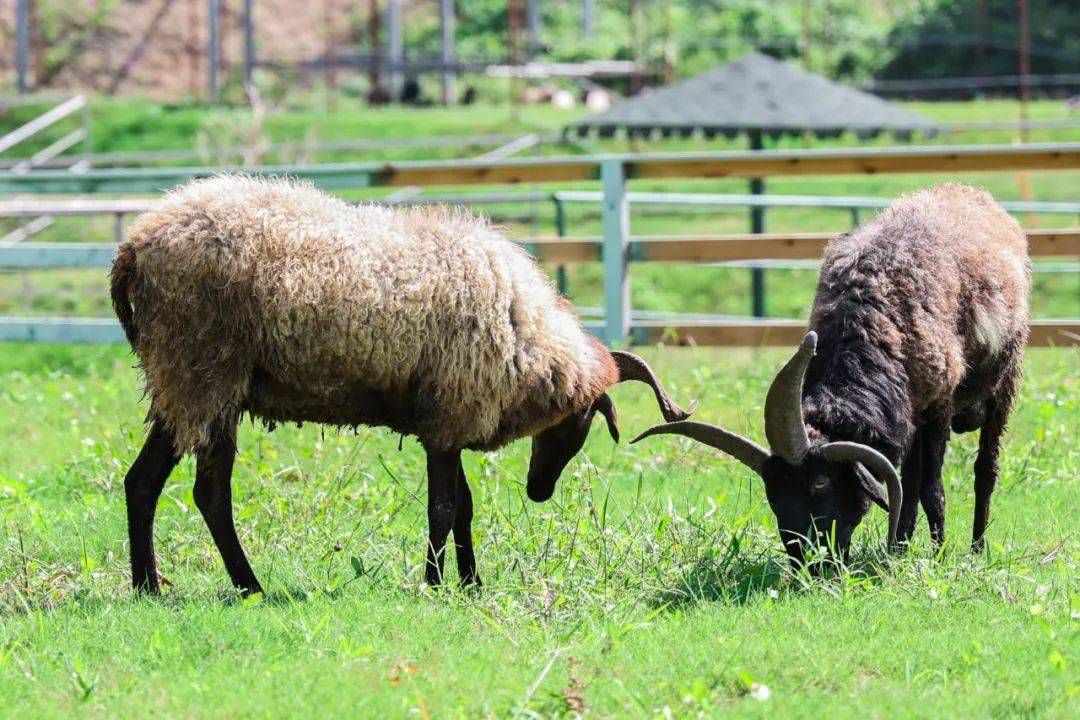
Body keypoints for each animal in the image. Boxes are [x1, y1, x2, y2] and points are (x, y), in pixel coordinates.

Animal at [109, 175, 691, 595]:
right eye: (581, 423)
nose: (538, 492)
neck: (525, 337)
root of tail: (135, 246)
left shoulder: (448, 418)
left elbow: (464, 505)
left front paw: (471, 583)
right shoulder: (452, 415)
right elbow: (444, 508)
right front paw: (434, 584)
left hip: (179, 382)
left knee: (142, 482)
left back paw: (147, 587)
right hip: (204, 371)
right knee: (210, 492)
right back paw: (248, 586)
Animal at [630, 184, 1028, 561]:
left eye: (820, 483)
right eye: (773, 492)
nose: (810, 563)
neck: (865, 326)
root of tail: (967, 191)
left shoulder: (939, 405)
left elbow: (934, 489)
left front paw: (939, 557)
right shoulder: (908, 410)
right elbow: (907, 484)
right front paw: (898, 551)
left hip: (1004, 383)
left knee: (984, 471)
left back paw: (976, 547)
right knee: (912, 479)